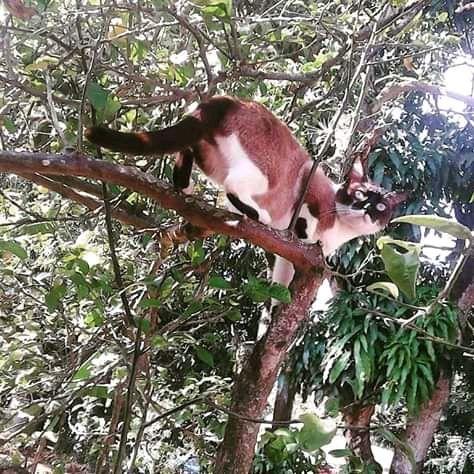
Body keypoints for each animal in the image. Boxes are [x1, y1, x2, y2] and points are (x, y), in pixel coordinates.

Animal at [85, 96, 404, 280]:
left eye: (379, 207)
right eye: (360, 195)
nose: (365, 209)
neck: (340, 231)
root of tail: (224, 100)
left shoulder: (291, 263)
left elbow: (280, 288)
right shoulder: (310, 182)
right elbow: (306, 219)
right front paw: (306, 231)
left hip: (210, 157)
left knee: (188, 154)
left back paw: (186, 190)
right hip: (265, 173)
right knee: (231, 187)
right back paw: (256, 215)